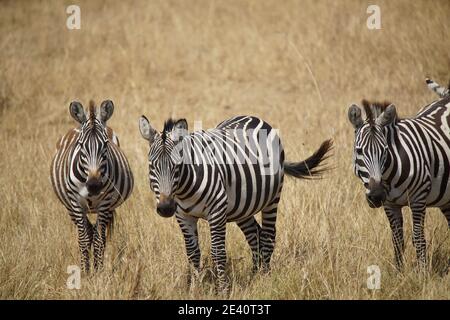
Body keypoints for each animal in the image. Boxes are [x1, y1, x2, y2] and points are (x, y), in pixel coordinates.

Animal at [50, 100, 134, 272]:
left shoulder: (106, 202)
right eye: (81, 144)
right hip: (69, 207)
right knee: (88, 231)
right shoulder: (75, 203)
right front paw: (85, 272)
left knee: (97, 234)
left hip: (109, 207)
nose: (94, 186)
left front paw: (99, 272)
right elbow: (83, 239)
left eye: (106, 144)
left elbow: (99, 240)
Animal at [139, 115, 332, 290]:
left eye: (177, 166)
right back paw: (254, 275)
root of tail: (253, 117)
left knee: (268, 236)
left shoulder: (217, 212)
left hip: (273, 198)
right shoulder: (183, 216)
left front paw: (223, 290)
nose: (165, 208)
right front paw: (195, 289)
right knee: (254, 234)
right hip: (242, 206)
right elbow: (192, 253)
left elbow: (218, 252)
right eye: (152, 166)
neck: (185, 188)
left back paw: (265, 278)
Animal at [348, 92, 450, 270]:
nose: (376, 196)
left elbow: (418, 238)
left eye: (385, 151)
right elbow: (397, 240)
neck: (389, 179)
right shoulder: (390, 205)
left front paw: (422, 273)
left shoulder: (418, 199)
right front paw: (399, 272)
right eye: (359, 151)